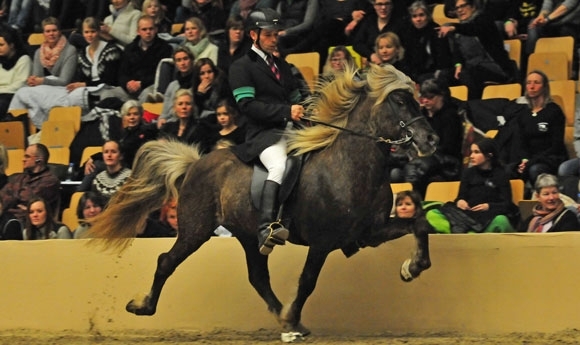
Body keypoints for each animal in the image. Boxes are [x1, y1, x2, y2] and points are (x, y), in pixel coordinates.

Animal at [88, 63, 438, 336]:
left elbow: (419, 223)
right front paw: (293, 317)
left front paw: (412, 268)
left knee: (257, 277)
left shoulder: (369, 233)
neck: (349, 166)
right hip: (196, 229)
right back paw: (143, 306)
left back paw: (282, 316)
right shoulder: (323, 241)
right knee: (166, 261)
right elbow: (307, 281)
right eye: (400, 101)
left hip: (245, 234)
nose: (431, 140)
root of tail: (196, 163)